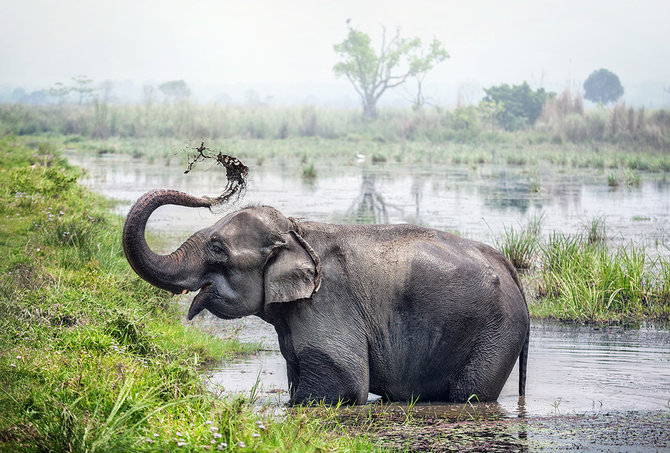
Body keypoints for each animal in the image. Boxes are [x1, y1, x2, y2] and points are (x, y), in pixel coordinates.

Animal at [124, 189, 532, 404]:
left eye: (218, 248)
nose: (210, 197)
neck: (296, 229)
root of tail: (509, 267)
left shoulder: (326, 302)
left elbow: (344, 384)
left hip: (495, 335)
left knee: (471, 396)